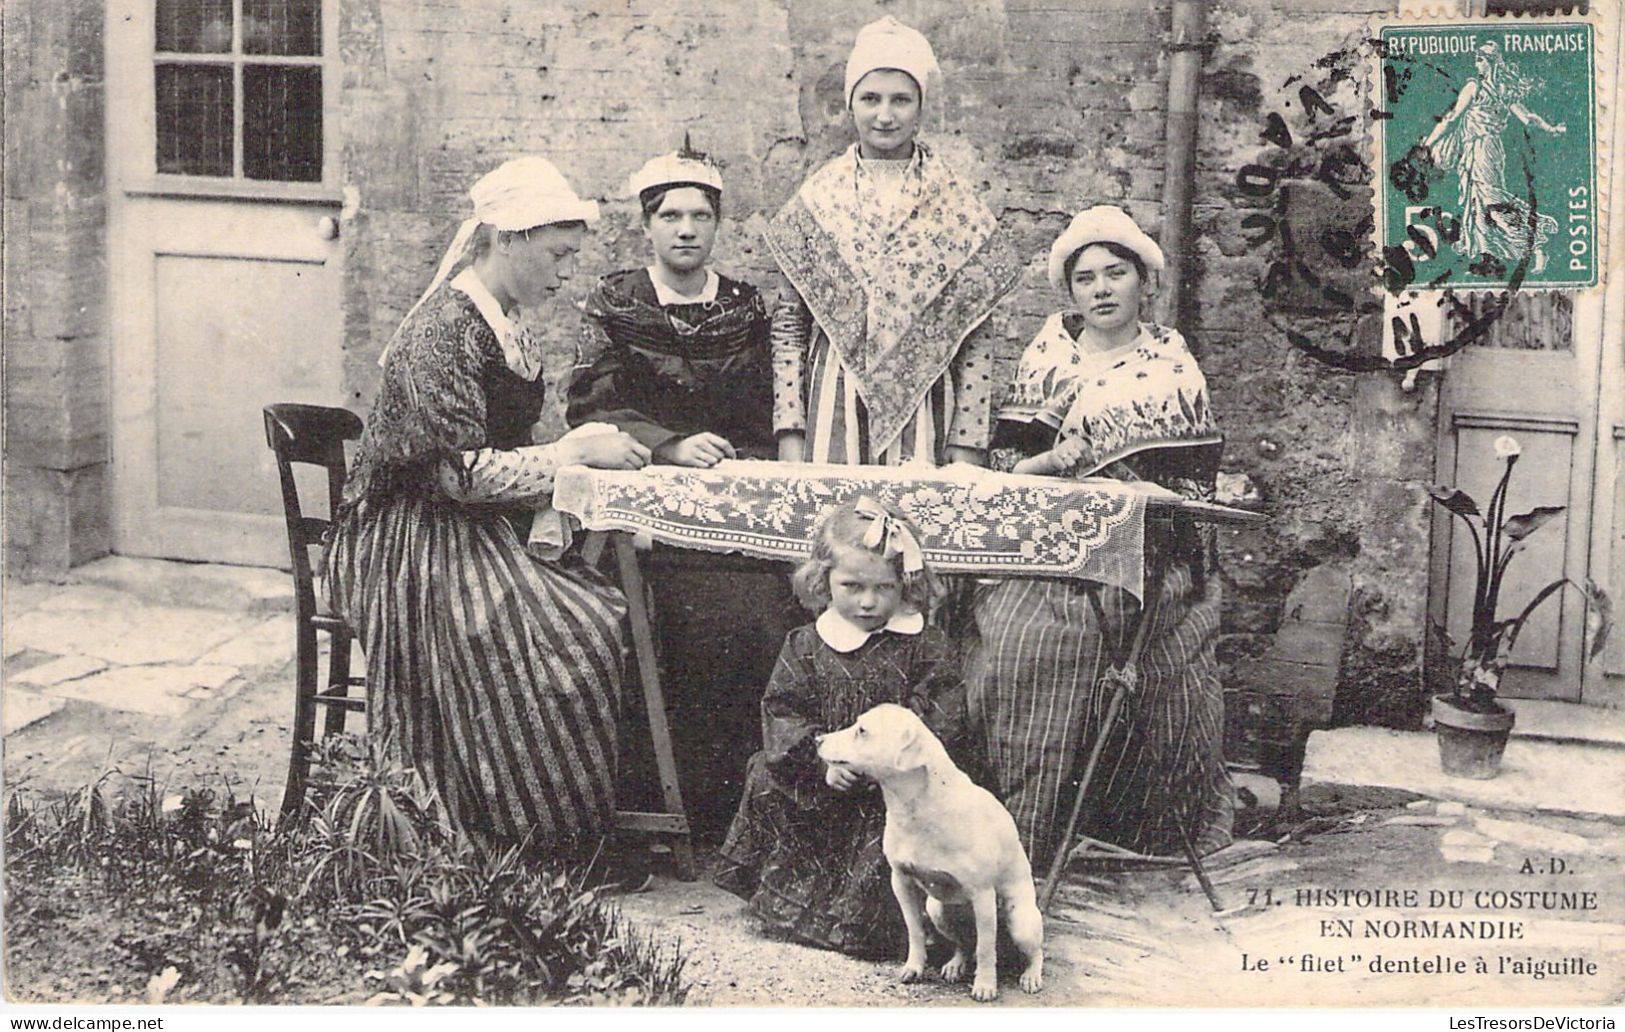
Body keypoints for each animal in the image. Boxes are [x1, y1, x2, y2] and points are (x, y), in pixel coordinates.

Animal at [819, 702, 1046, 1001]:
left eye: (862, 730)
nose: (817, 740)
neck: (918, 805)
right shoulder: (901, 882)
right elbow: (915, 930)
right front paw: (914, 968)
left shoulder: (983, 895)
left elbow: (987, 948)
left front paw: (985, 985)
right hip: (938, 912)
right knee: (964, 943)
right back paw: (955, 965)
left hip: (1020, 922)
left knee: (1031, 951)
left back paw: (1031, 976)